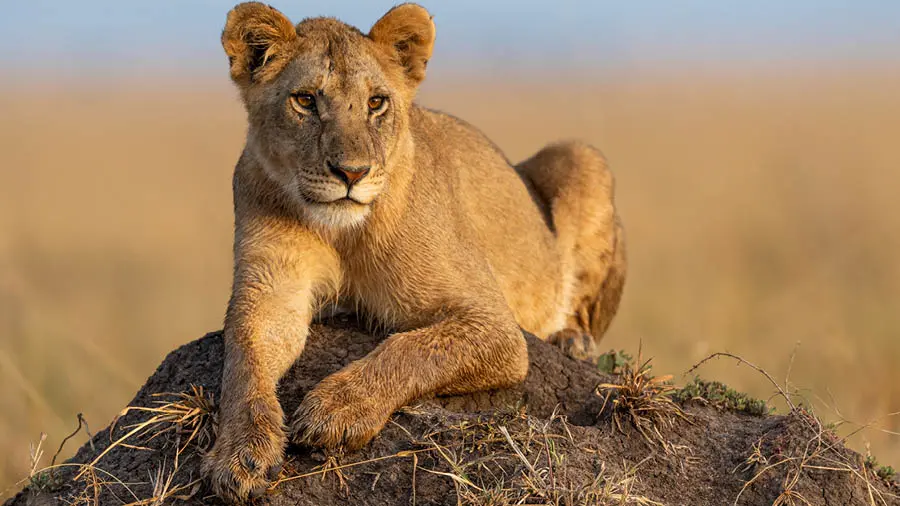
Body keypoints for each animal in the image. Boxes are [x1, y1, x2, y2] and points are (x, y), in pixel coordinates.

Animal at [202, 2, 627, 502]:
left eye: (376, 102)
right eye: (305, 100)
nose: (351, 173)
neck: (343, 233)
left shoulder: (495, 324)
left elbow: (411, 348)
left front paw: (337, 409)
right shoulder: (270, 292)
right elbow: (244, 362)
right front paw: (241, 453)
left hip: (580, 156)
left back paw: (572, 341)